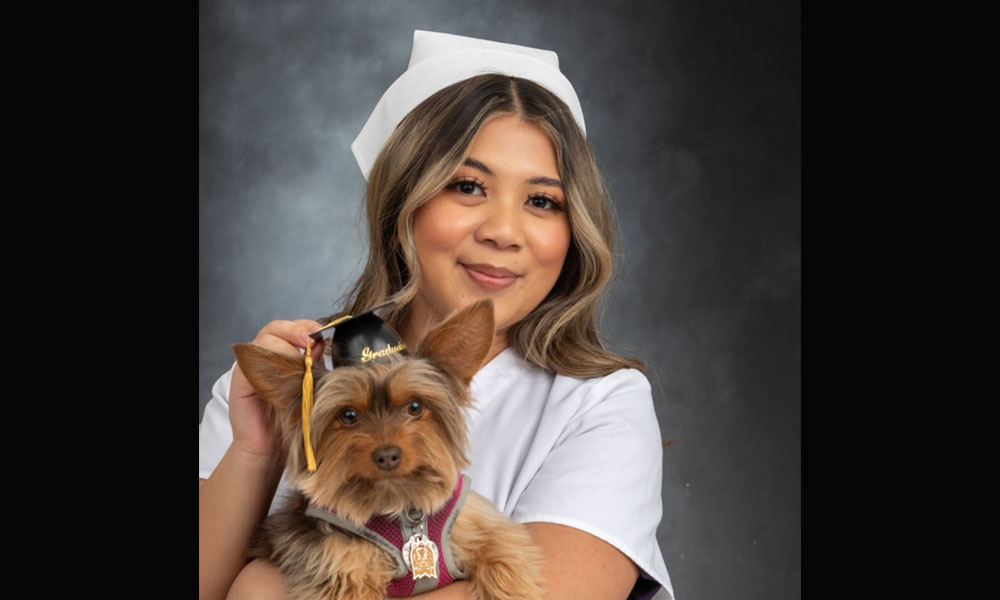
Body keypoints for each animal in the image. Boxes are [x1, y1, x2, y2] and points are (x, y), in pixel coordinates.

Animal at [233, 300, 544, 600]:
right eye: (348, 415)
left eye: (415, 407)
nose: (387, 456)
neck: (401, 507)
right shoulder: (340, 566)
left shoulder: (479, 526)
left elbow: (506, 557)